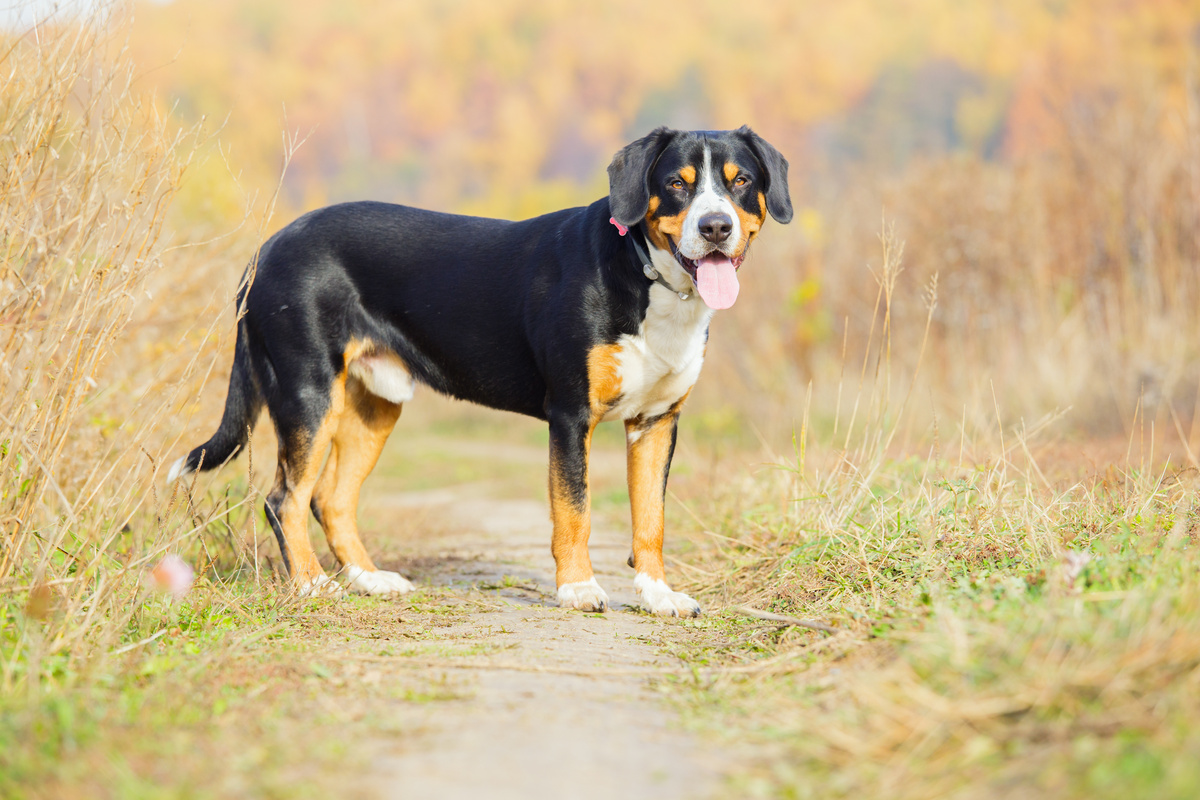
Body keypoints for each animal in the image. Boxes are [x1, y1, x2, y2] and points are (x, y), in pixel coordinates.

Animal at [166, 125, 787, 618]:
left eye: (740, 182)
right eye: (678, 183)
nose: (714, 227)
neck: (645, 277)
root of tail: (268, 247)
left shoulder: (657, 423)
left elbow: (651, 520)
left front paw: (658, 595)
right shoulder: (570, 416)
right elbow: (575, 511)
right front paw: (578, 588)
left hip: (375, 404)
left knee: (330, 500)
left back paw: (371, 579)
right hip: (308, 394)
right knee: (285, 500)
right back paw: (314, 587)